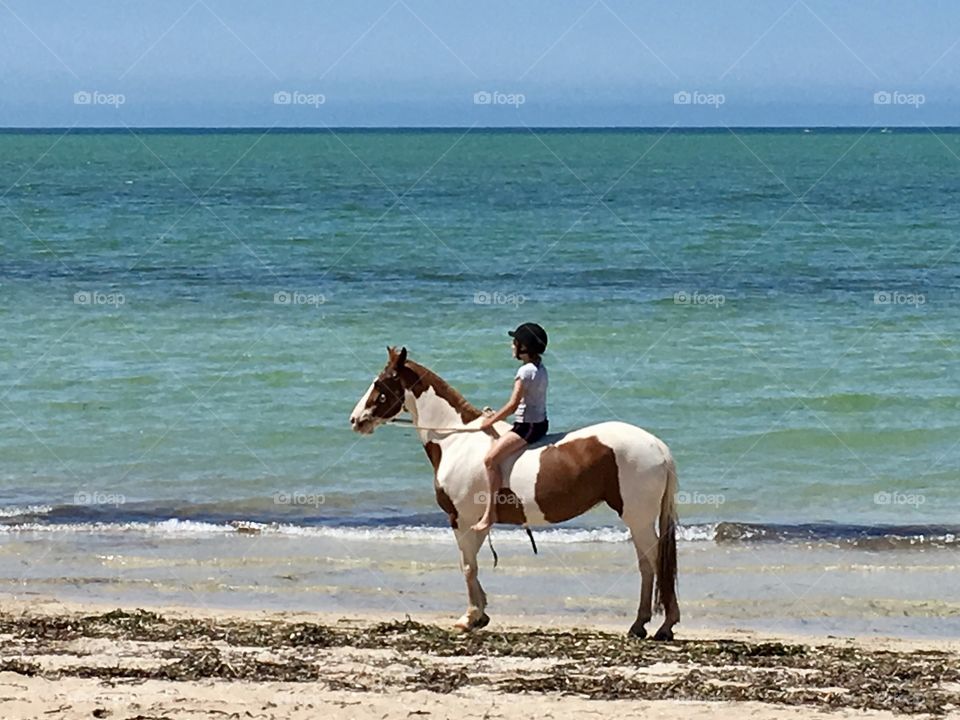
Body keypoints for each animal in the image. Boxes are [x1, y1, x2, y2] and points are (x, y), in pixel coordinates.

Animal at [348, 346, 680, 640]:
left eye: (381, 383)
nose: (355, 420)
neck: (456, 441)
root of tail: (657, 446)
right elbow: (472, 565)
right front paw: (480, 614)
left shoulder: (463, 519)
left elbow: (467, 565)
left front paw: (470, 618)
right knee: (648, 565)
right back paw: (645, 626)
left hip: (637, 517)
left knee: (653, 564)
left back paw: (658, 626)